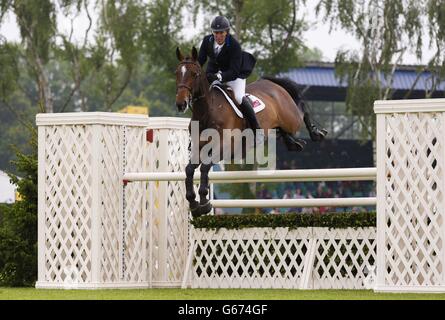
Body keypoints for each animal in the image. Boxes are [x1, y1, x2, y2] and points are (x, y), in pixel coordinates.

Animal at [174, 46, 326, 218]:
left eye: (194, 74)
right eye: (177, 73)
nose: (181, 104)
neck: (208, 111)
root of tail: (271, 83)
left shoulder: (225, 147)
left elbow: (205, 167)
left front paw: (204, 203)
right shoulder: (199, 148)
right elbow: (189, 169)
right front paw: (194, 204)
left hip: (291, 119)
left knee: (302, 112)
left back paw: (316, 133)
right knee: (282, 130)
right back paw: (293, 143)